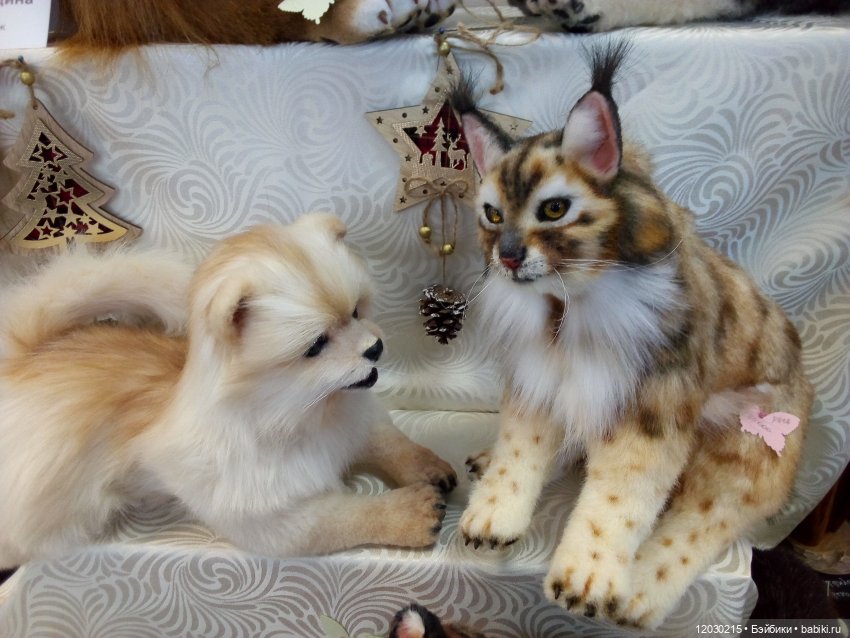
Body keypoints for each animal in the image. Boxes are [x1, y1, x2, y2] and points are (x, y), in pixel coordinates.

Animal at [0, 213, 456, 570]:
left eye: (357, 312)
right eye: (316, 346)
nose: (374, 348)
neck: (305, 410)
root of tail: (25, 355)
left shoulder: (360, 421)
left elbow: (393, 443)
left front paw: (428, 465)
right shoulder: (274, 516)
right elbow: (346, 516)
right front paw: (408, 513)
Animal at [450, 42, 813, 629]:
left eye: (554, 209)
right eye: (491, 214)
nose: (507, 257)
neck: (564, 308)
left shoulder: (652, 408)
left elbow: (620, 499)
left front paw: (588, 577)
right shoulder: (539, 378)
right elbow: (521, 450)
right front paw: (494, 511)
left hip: (746, 441)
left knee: (706, 520)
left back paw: (639, 591)